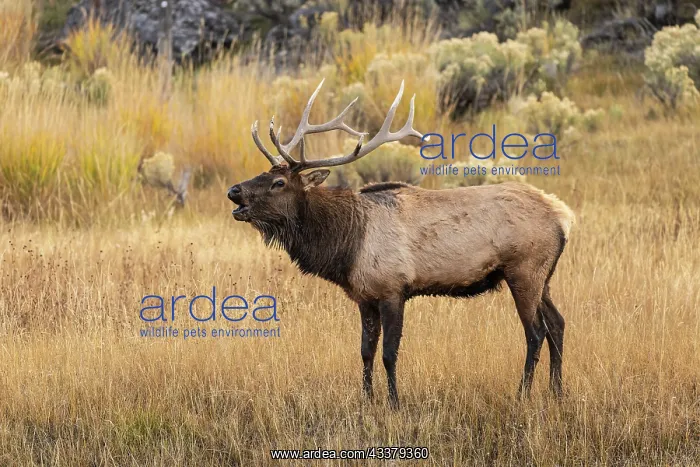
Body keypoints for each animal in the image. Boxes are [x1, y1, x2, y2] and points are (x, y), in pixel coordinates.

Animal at [227, 80, 575, 409]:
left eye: (279, 182)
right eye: (263, 173)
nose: (234, 191)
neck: (346, 246)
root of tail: (564, 216)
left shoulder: (393, 289)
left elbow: (388, 353)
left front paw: (394, 402)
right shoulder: (364, 296)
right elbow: (365, 351)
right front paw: (366, 399)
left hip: (524, 270)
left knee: (536, 332)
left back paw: (523, 394)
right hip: (542, 277)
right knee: (557, 323)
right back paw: (557, 392)